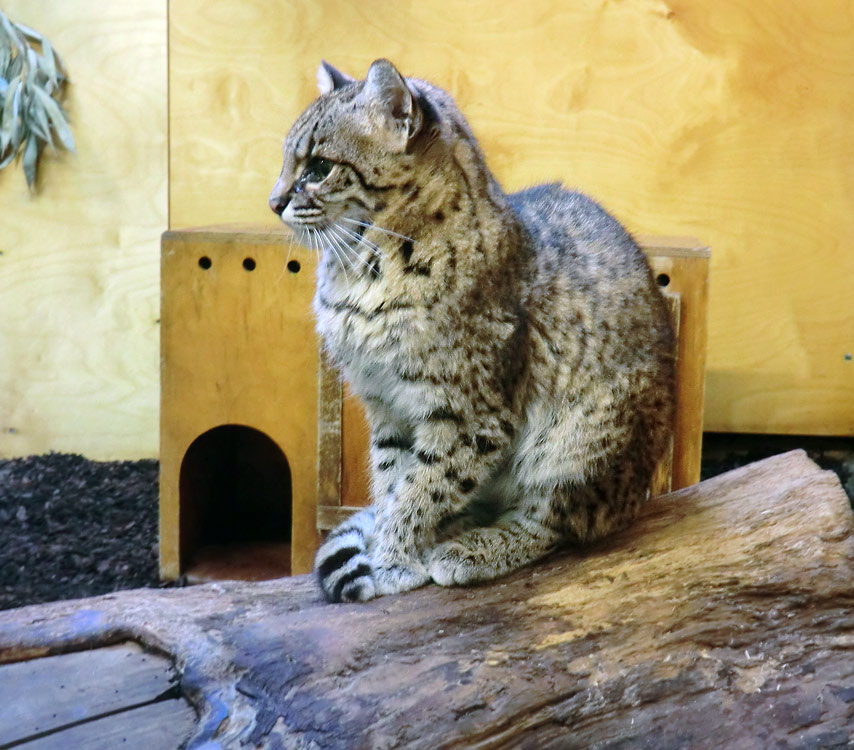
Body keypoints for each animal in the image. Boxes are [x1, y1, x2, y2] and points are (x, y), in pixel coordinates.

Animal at [270, 58, 680, 604]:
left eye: (318, 167)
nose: (273, 202)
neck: (360, 270)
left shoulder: (470, 413)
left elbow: (423, 486)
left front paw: (393, 558)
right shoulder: (386, 406)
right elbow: (393, 478)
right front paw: (388, 547)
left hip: (579, 441)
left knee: (557, 521)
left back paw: (475, 548)